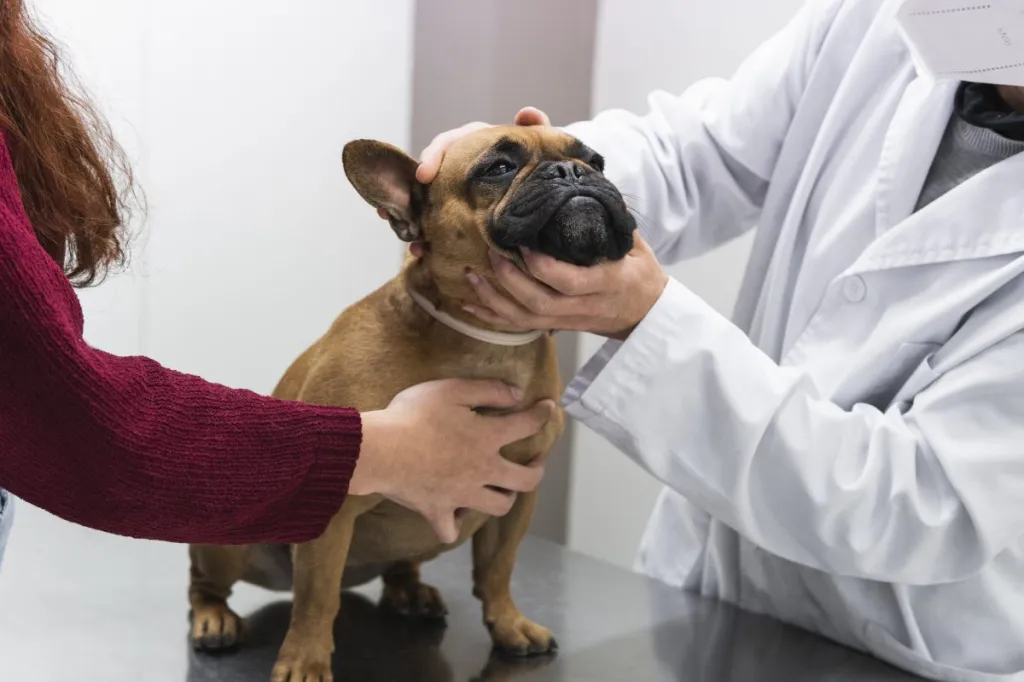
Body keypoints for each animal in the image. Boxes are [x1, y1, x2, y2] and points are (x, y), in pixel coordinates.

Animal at [184, 123, 630, 679]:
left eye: (598, 160)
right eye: (499, 167)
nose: (573, 171)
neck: (490, 340)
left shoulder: (519, 495)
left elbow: (499, 569)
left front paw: (509, 624)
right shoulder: (334, 506)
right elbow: (316, 599)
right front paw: (305, 660)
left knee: (402, 567)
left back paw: (410, 591)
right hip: (230, 541)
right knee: (207, 585)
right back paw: (214, 618)